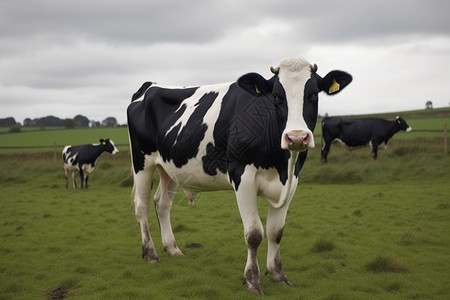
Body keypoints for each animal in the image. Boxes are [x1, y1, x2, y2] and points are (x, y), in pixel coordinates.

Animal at [125, 57, 352, 294]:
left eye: (314, 94)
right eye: (276, 96)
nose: (296, 137)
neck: (281, 165)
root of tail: (149, 86)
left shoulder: (292, 180)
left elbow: (276, 232)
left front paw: (278, 275)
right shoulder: (242, 176)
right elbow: (254, 234)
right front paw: (252, 281)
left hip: (169, 167)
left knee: (162, 203)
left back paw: (172, 248)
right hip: (142, 162)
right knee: (142, 206)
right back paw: (150, 254)